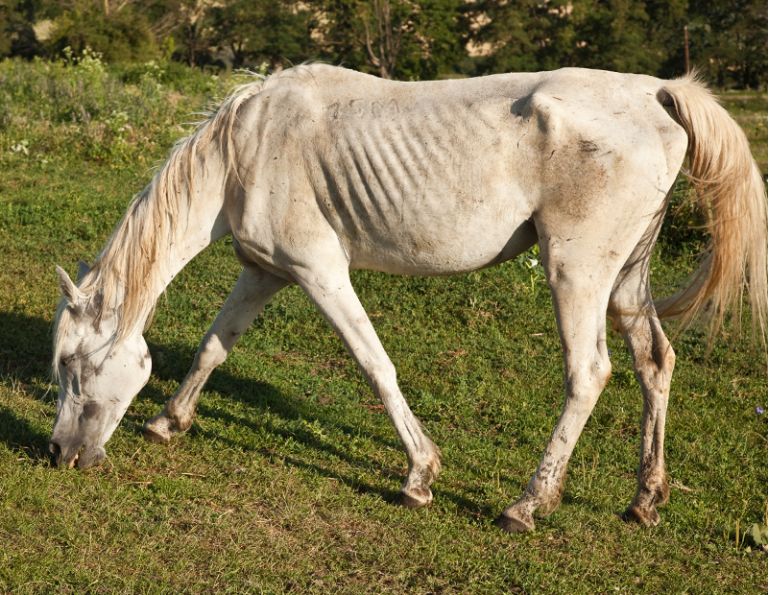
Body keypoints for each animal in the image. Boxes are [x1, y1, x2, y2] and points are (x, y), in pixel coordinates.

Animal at [51, 64, 767, 532]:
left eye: (74, 367)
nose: (59, 455)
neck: (246, 146)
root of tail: (655, 92)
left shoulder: (320, 271)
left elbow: (376, 365)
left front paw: (419, 476)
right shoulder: (264, 271)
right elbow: (212, 348)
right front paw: (169, 420)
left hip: (577, 273)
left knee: (588, 373)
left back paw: (527, 505)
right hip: (625, 280)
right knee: (654, 363)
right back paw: (644, 500)